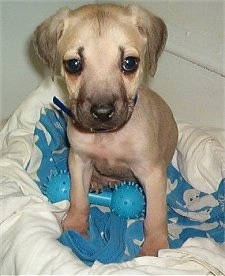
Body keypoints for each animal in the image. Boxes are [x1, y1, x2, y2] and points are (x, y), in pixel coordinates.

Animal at [33, 3, 178, 256]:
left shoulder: (152, 173)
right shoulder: (79, 160)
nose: (102, 112)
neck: (107, 137)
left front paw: (154, 248)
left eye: (129, 63)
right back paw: (98, 180)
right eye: (73, 64)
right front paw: (74, 227)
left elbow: (155, 216)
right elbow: (78, 198)